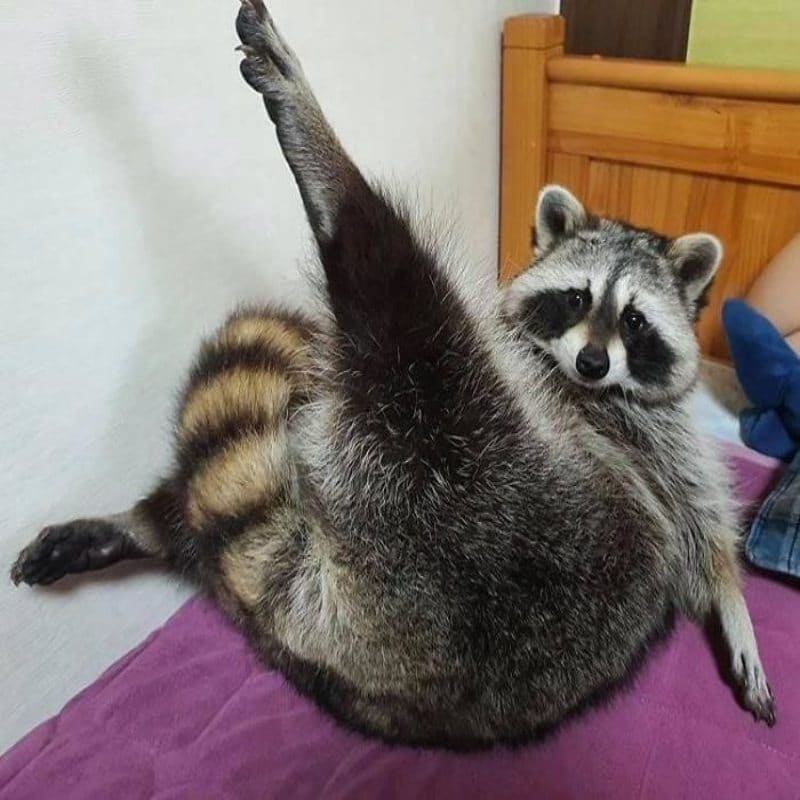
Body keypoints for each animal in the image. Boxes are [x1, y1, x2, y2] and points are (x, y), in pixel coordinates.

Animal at [10, 0, 773, 749]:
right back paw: (146, 524)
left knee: (394, 288)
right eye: (578, 299)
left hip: (476, 478)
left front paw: (732, 602)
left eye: (636, 321)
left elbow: (702, 522)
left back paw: (324, 160)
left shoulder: (640, 434)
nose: (590, 362)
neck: (587, 381)